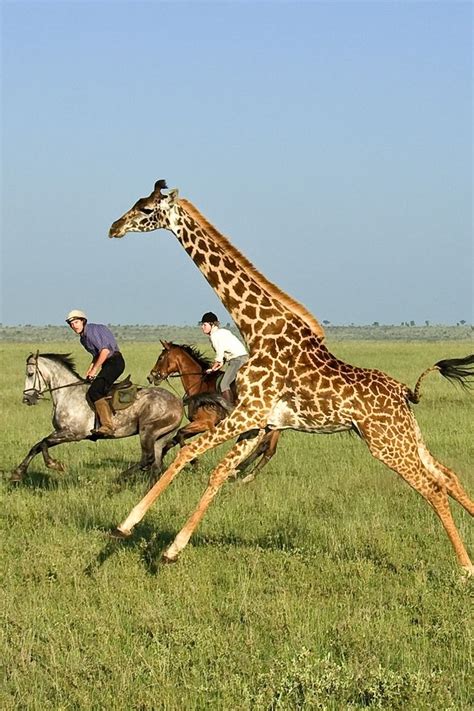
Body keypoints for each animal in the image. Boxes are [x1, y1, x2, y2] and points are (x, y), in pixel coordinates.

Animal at [11, 352, 183, 484]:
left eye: (30, 374)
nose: (26, 399)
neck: (67, 393)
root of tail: (178, 402)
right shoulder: (61, 433)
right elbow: (37, 446)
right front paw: (18, 473)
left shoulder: (72, 434)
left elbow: (43, 443)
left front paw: (54, 464)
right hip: (160, 437)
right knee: (156, 463)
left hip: (147, 431)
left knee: (148, 458)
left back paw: (120, 477)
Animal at [148, 340, 280, 478]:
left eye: (161, 357)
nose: (151, 376)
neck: (199, 385)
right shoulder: (198, 424)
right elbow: (173, 440)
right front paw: (158, 462)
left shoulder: (205, 423)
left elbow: (179, 434)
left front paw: (195, 463)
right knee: (267, 449)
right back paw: (241, 472)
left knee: (265, 448)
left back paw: (239, 472)